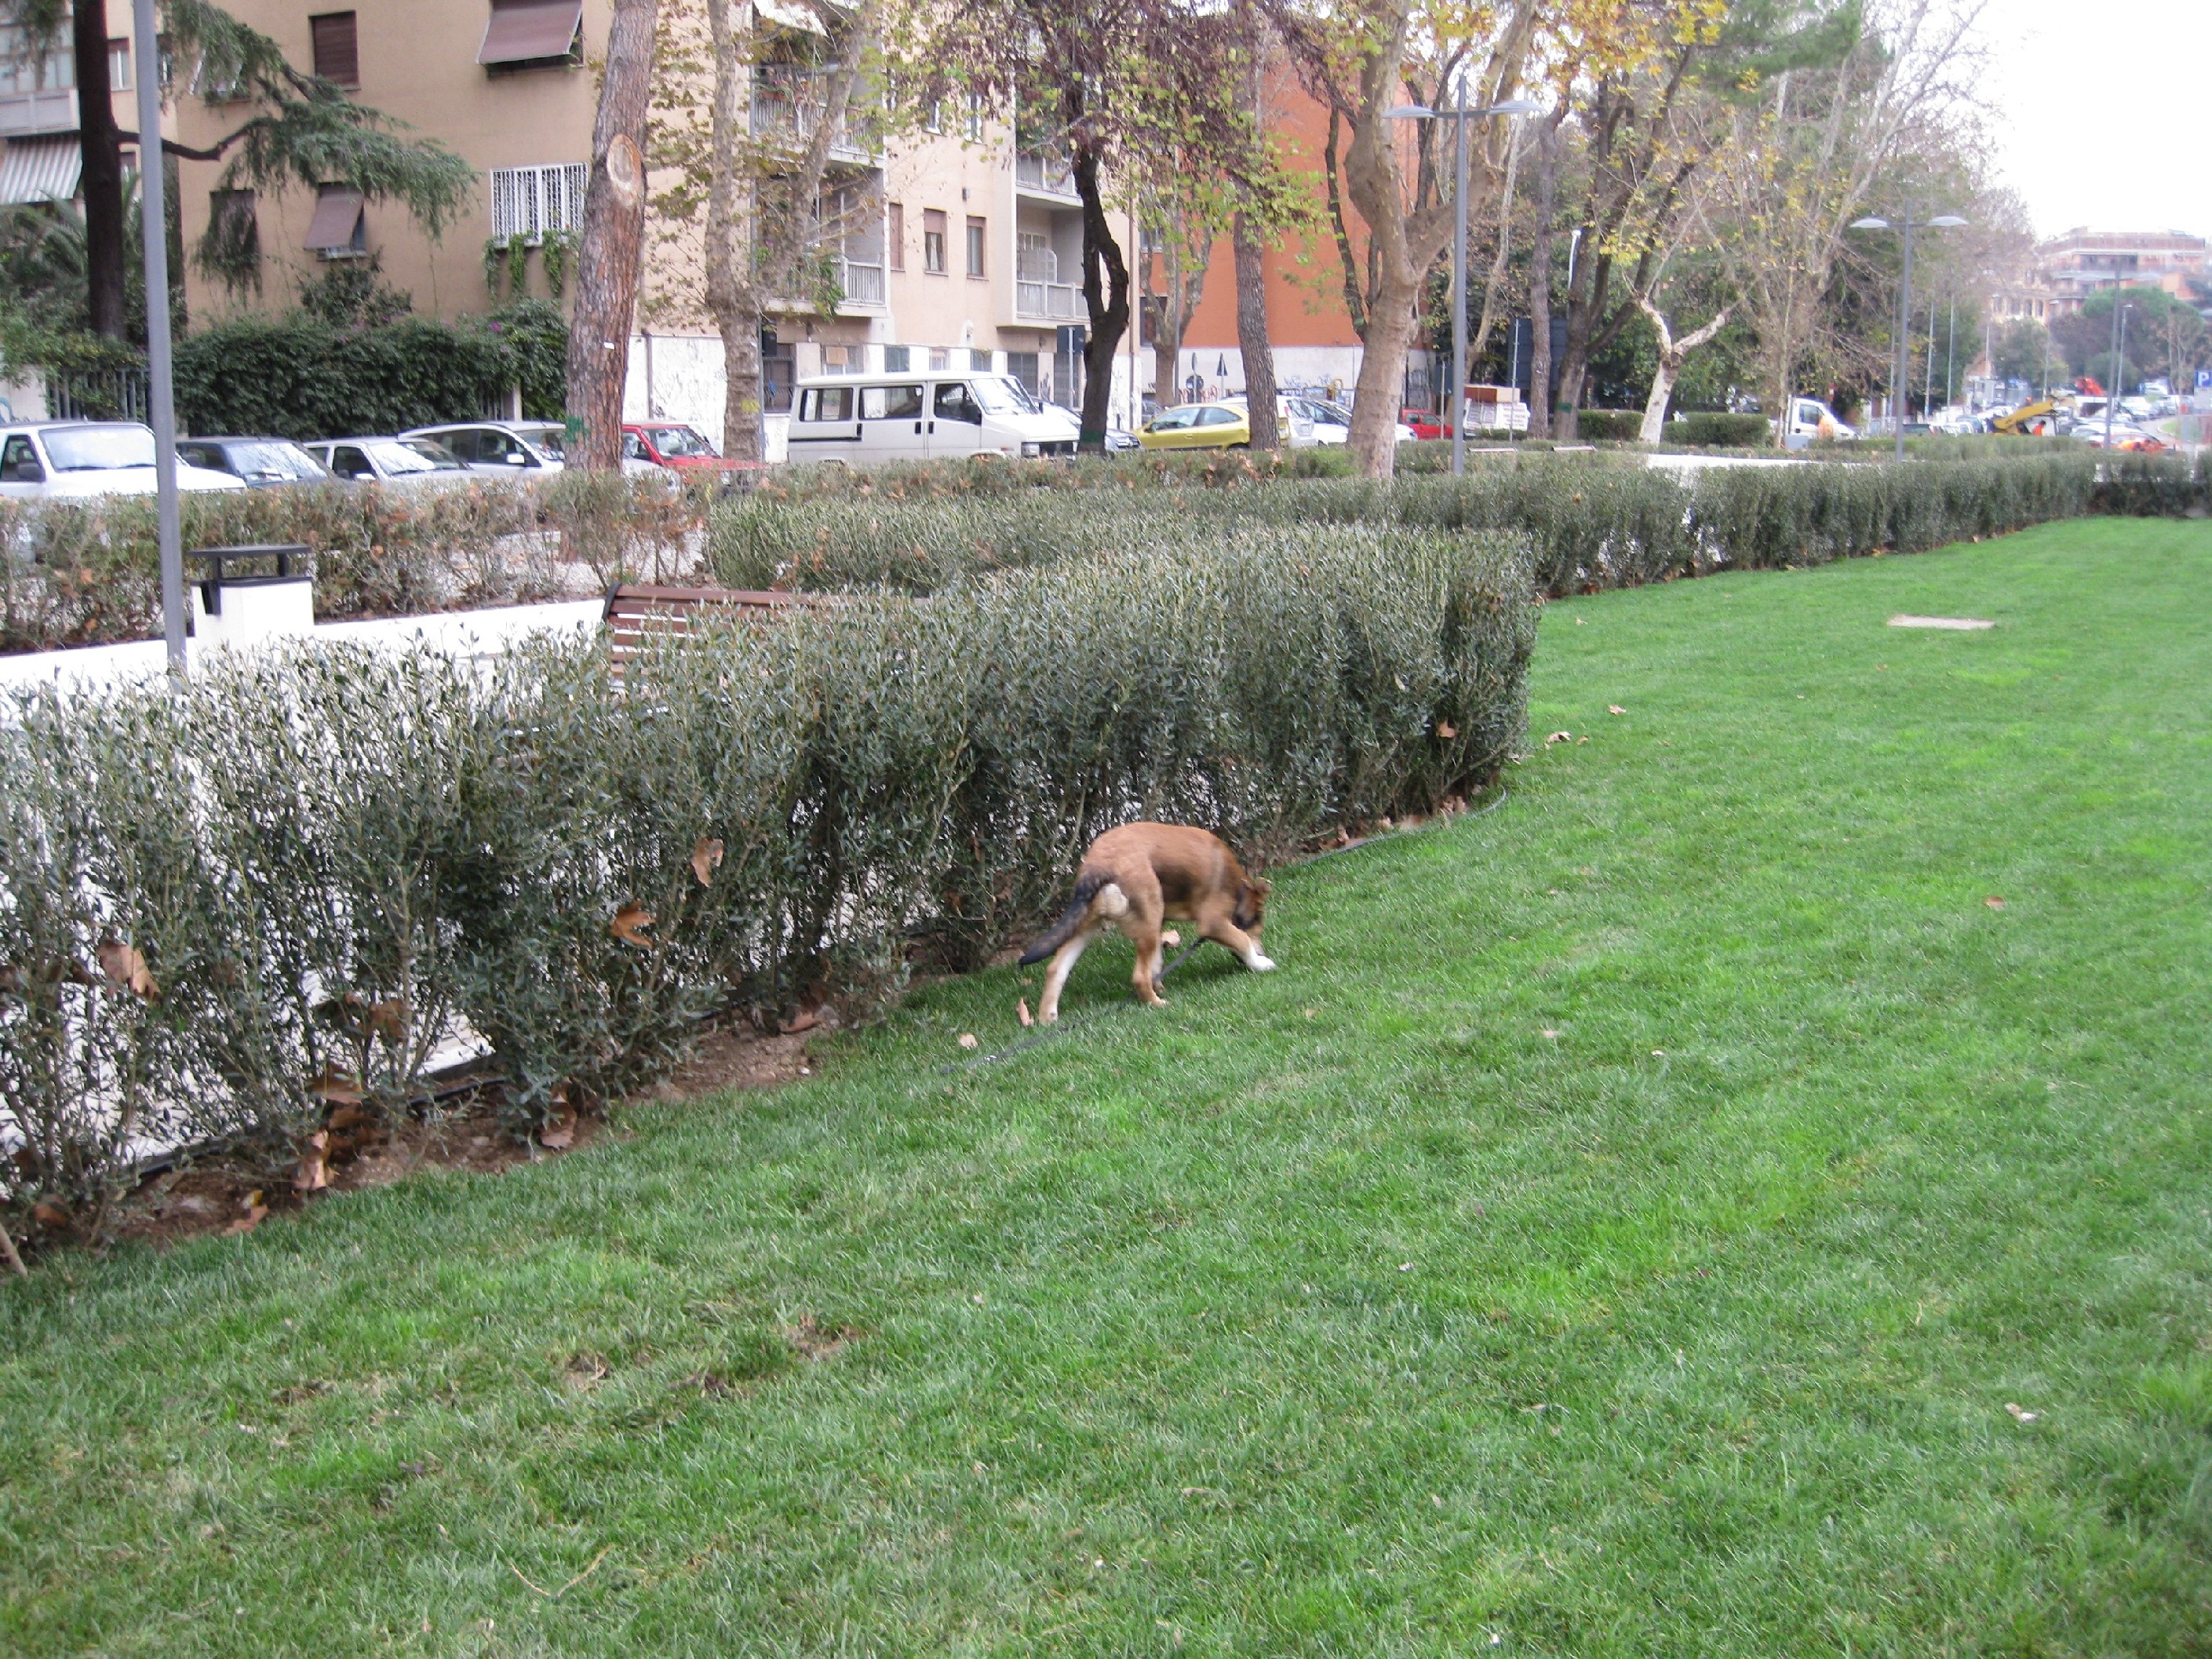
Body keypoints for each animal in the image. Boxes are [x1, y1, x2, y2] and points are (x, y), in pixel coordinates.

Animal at [1022, 822, 1283, 1022]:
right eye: (1257, 924)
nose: (1262, 951)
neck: (1237, 887)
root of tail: (1098, 864)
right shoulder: (1213, 922)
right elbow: (1242, 940)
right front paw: (1260, 963)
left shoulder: (1162, 922)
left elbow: (1156, 962)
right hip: (1146, 916)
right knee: (1138, 977)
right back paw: (1156, 1004)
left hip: (1091, 921)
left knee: (1057, 968)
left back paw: (1047, 1018)